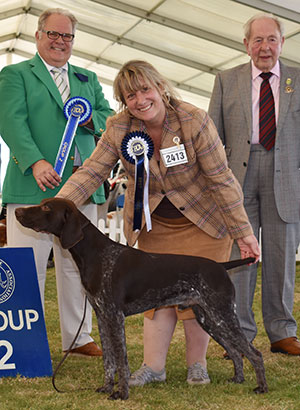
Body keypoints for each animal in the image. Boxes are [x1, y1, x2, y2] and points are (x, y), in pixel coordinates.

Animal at [14, 199, 268, 400]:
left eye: (46, 207)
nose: (17, 212)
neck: (95, 254)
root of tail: (222, 266)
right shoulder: (103, 317)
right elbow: (109, 361)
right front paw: (106, 388)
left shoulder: (114, 316)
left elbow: (121, 361)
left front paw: (121, 393)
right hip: (209, 319)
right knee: (235, 351)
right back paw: (238, 380)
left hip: (222, 315)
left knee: (254, 353)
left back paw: (261, 388)